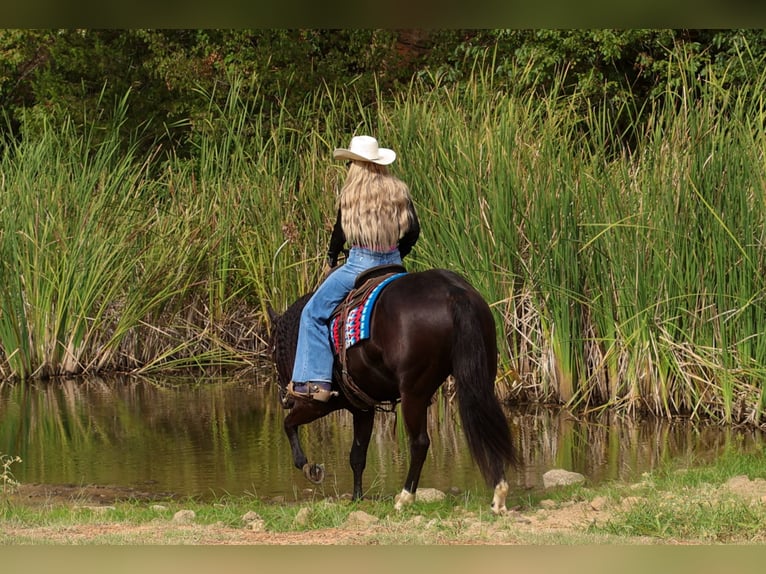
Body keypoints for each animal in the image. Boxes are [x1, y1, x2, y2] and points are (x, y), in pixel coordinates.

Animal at [267, 267, 515, 514]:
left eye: (271, 350)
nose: (284, 398)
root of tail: (453, 292)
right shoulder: (363, 409)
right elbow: (357, 456)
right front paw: (357, 497)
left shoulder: (319, 403)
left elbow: (288, 424)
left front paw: (309, 467)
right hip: (481, 379)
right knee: (488, 427)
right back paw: (499, 495)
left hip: (414, 393)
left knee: (420, 442)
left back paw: (405, 498)